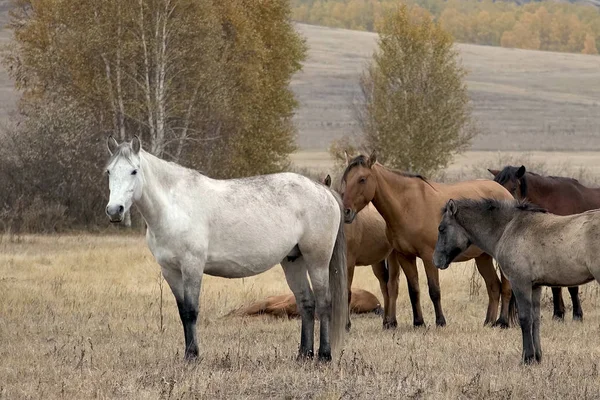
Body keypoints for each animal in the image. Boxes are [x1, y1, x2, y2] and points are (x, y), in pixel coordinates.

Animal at [103, 136, 346, 360]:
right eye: (109, 172)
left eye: (134, 171)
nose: (115, 210)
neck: (174, 208)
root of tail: (323, 190)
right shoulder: (170, 271)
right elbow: (182, 312)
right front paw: (188, 354)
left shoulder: (192, 266)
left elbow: (191, 310)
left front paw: (193, 355)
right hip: (293, 261)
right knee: (306, 303)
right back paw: (304, 355)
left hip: (317, 260)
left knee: (324, 303)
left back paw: (324, 356)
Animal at [342, 153, 516, 328]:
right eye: (345, 179)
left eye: (362, 179)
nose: (346, 212)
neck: (407, 206)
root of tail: (507, 194)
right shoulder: (405, 256)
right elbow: (414, 290)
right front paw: (418, 322)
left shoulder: (429, 256)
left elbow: (434, 290)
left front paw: (440, 322)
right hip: (482, 257)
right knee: (493, 286)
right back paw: (488, 322)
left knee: (506, 286)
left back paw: (502, 322)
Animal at [432, 198, 600, 364]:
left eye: (441, 228)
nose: (436, 260)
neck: (508, 228)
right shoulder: (535, 286)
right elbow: (535, 319)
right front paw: (537, 357)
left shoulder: (520, 283)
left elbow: (525, 319)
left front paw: (527, 358)